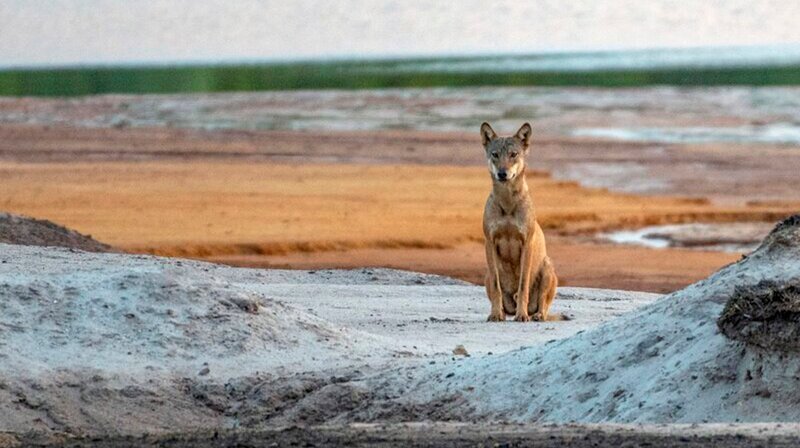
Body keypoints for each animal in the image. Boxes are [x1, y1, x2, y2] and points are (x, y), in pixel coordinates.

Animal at [481, 122, 560, 322]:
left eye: (513, 154)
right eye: (495, 154)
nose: (502, 173)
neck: (508, 204)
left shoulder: (526, 244)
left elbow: (523, 285)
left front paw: (522, 315)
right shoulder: (490, 243)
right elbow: (497, 288)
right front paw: (495, 314)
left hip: (548, 268)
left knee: (543, 306)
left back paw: (535, 315)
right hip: (486, 274)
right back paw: (503, 313)